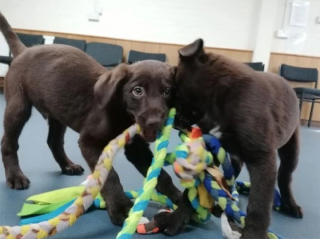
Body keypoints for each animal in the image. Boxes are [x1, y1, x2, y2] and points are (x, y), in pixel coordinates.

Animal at [0, 12, 181, 225]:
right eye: (137, 91)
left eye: (167, 91)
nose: (155, 122)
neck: (121, 112)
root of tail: (24, 51)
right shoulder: (90, 143)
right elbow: (109, 176)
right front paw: (120, 207)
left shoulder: (137, 148)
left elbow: (161, 176)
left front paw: (182, 201)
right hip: (18, 107)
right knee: (9, 143)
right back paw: (15, 176)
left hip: (57, 113)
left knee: (53, 141)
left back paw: (67, 165)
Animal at [155, 38, 302, 238]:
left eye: (170, 90)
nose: (168, 118)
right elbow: (192, 192)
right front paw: (177, 218)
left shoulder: (262, 159)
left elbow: (259, 205)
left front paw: (253, 234)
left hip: (291, 147)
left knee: (285, 175)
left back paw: (290, 204)